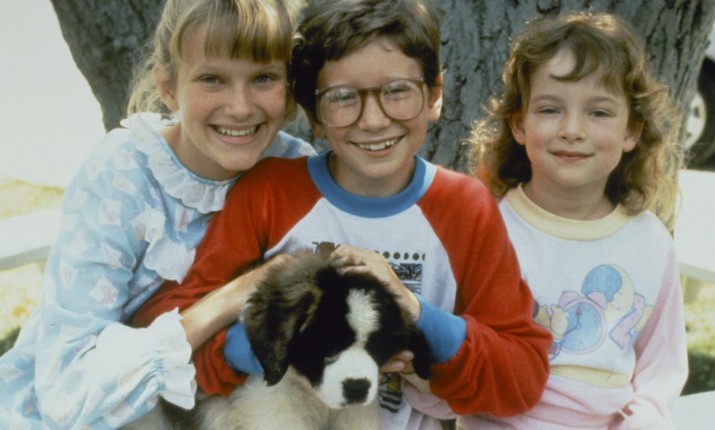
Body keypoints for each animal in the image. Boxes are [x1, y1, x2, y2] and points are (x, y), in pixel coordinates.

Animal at [126, 248, 433, 429]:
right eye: (327, 343)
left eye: (375, 347)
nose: (357, 388)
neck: (309, 391)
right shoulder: (272, 409)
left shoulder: (355, 415)